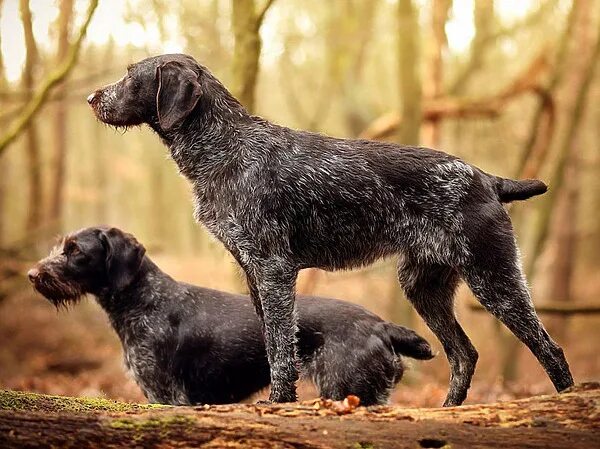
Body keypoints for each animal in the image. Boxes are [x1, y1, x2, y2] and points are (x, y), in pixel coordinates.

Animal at [28, 226, 434, 404]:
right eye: (60, 246)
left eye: (75, 251)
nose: (32, 274)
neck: (144, 301)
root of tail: (380, 325)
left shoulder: (167, 395)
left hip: (347, 390)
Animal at [88, 54, 572, 404]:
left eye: (131, 75)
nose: (93, 97)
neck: (225, 148)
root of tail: (487, 179)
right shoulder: (254, 273)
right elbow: (273, 346)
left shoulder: (273, 269)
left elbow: (281, 352)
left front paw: (279, 404)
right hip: (423, 286)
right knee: (464, 354)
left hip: (493, 278)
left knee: (548, 348)